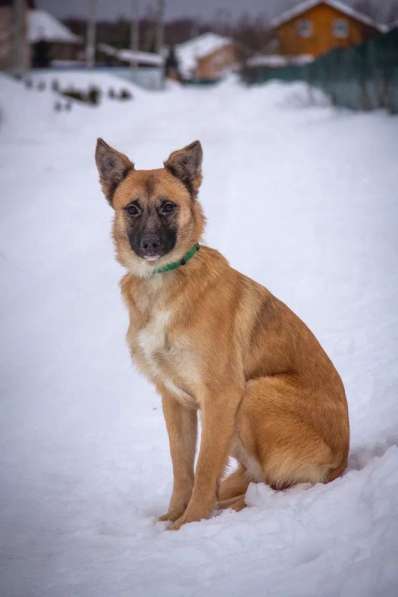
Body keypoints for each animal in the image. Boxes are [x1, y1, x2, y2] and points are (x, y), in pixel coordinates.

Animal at [95, 137, 348, 528]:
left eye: (168, 207)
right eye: (132, 209)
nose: (150, 245)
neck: (163, 282)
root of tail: (343, 461)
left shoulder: (221, 395)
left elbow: (204, 468)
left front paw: (189, 524)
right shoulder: (175, 402)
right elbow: (182, 469)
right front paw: (173, 517)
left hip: (256, 392)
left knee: (274, 483)